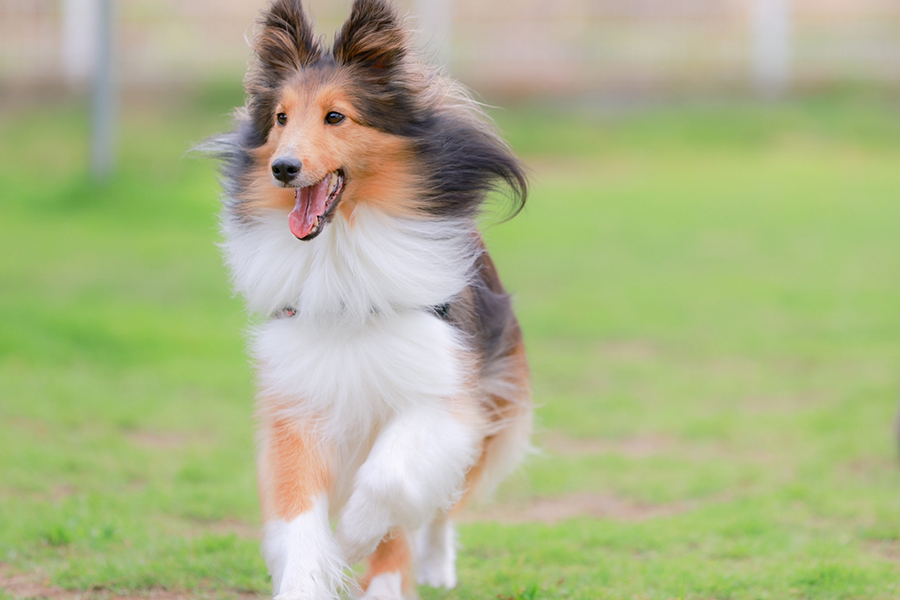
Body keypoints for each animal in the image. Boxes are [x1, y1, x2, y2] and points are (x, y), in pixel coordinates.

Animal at [207, 2, 532, 596]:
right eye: (281, 118)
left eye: (336, 117)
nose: (283, 168)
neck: (342, 254)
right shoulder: (299, 397)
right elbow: (297, 513)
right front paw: (305, 577)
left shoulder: (440, 394)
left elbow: (390, 482)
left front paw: (353, 541)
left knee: (440, 506)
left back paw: (432, 568)